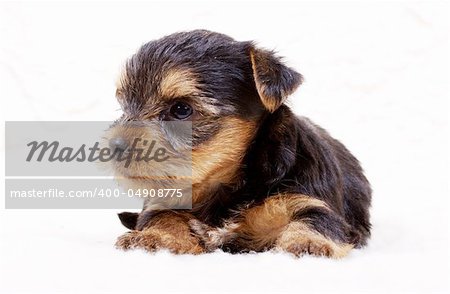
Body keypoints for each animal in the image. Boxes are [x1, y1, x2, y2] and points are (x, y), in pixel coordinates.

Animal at [110, 30, 370, 258]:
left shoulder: (307, 199)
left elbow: (315, 220)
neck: (225, 183)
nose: (114, 147)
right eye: (124, 107)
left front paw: (307, 243)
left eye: (181, 109)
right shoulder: (162, 201)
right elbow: (162, 218)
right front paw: (154, 237)